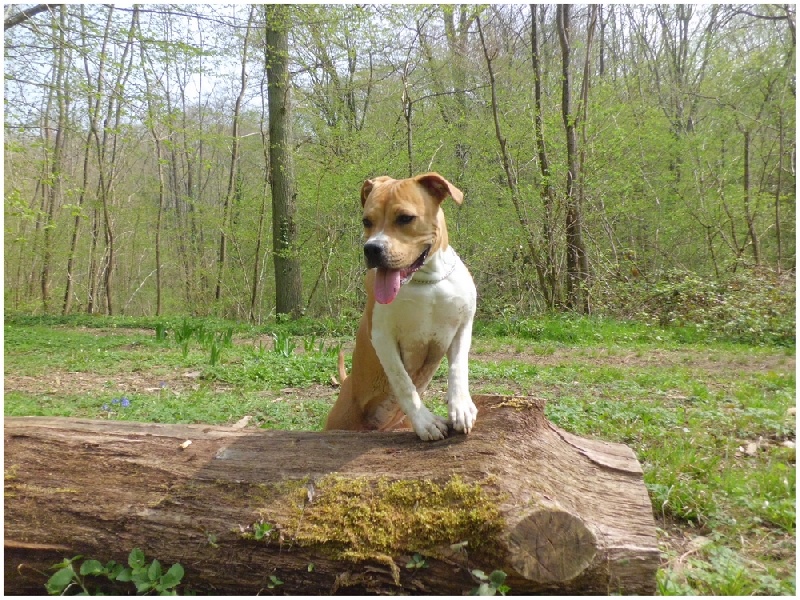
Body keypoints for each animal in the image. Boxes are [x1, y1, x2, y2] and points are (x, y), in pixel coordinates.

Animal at [324, 172, 478, 441]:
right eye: (366, 221)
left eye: (405, 218)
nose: (372, 249)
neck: (426, 280)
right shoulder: (383, 337)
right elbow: (403, 382)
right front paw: (426, 422)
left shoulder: (462, 326)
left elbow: (459, 368)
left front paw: (461, 408)